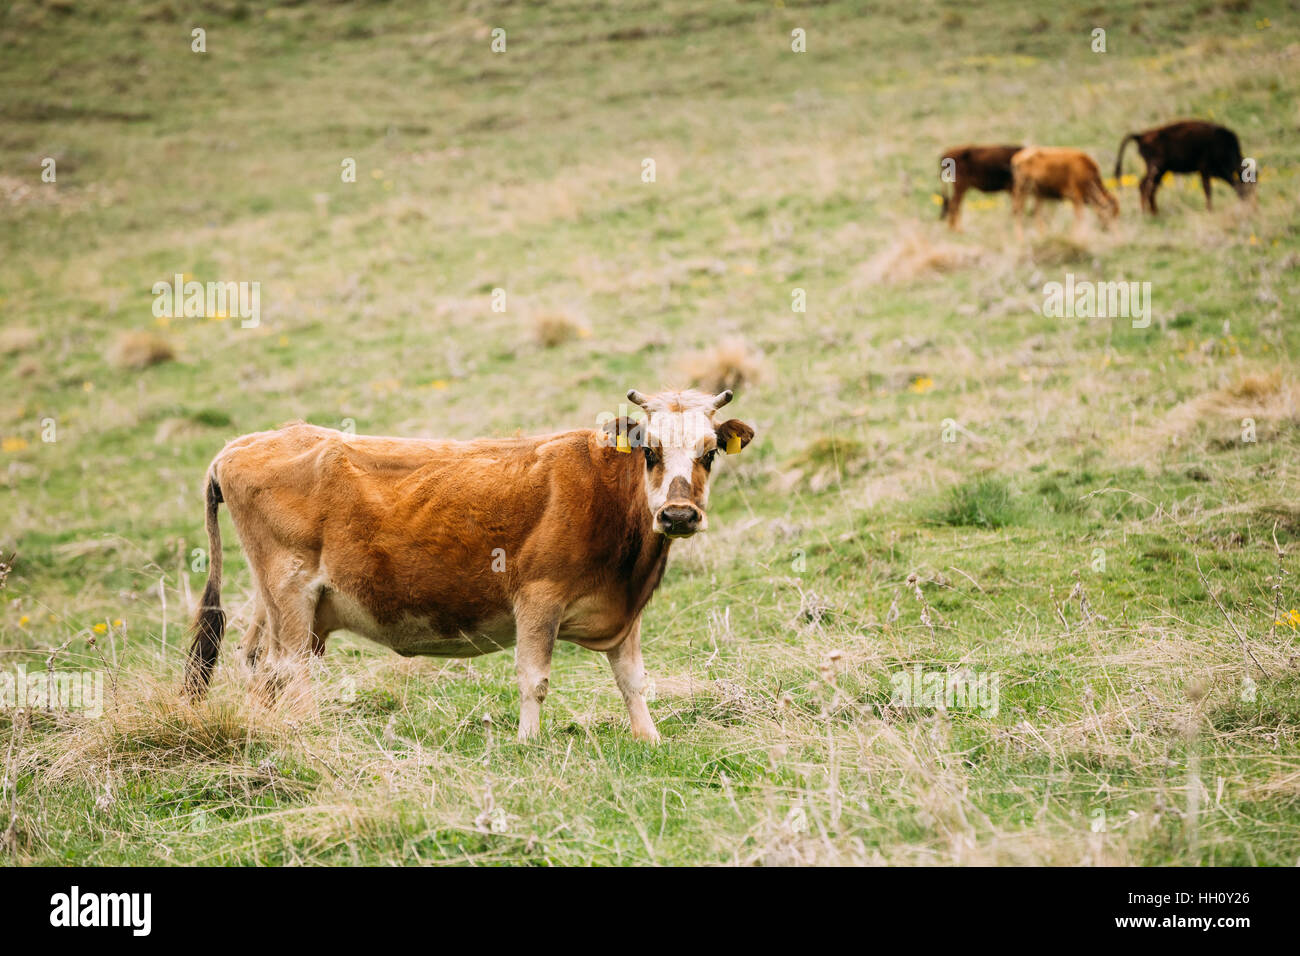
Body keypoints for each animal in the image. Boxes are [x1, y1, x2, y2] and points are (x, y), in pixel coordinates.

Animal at [182, 385, 754, 743]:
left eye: (708, 453)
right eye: (650, 451)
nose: (678, 514)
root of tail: (242, 443)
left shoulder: (622, 611)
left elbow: (632, 680)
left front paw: (648, 737)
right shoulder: (538, 598)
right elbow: (534, 677)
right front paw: (528, 742)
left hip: (277, 601)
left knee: (259, 665)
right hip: (291, 592)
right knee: (289, 669)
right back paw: (306, 729)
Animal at [1112, 119, 1253, 214]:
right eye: (1247, 184)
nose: (1249, 203)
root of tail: (1141, 136)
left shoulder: (1206, 171)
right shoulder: (1205, 169)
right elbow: (1208, 189)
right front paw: (1209, 210)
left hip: (1160, 170)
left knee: (1149, 187)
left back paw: (1153, 213)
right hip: (1157, 168)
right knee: (1146, 185)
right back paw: (1148, 213)